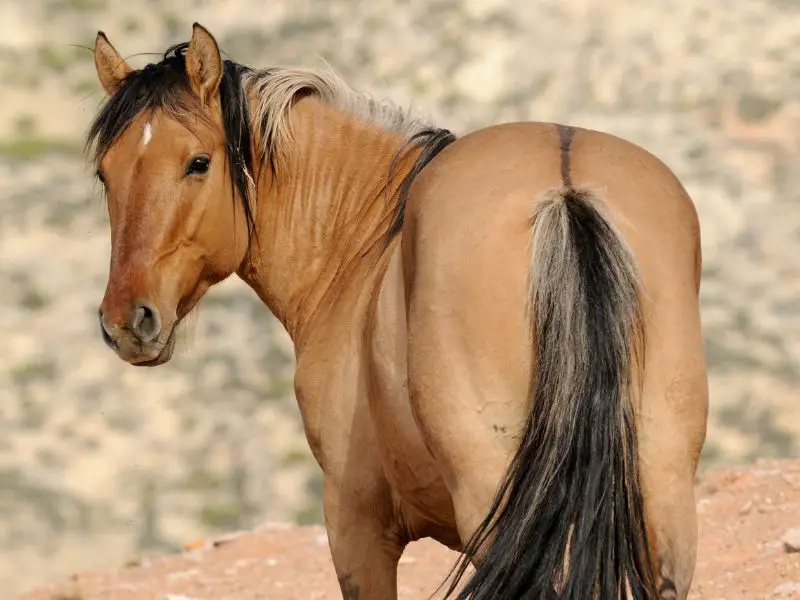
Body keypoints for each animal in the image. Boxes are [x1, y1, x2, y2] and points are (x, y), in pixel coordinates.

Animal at [90, 23, 708, 600]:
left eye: (198, 163)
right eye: (105, 173)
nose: (127, 321)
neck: (361, 244)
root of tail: (565, 190)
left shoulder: (356, 525)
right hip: (662, 497)